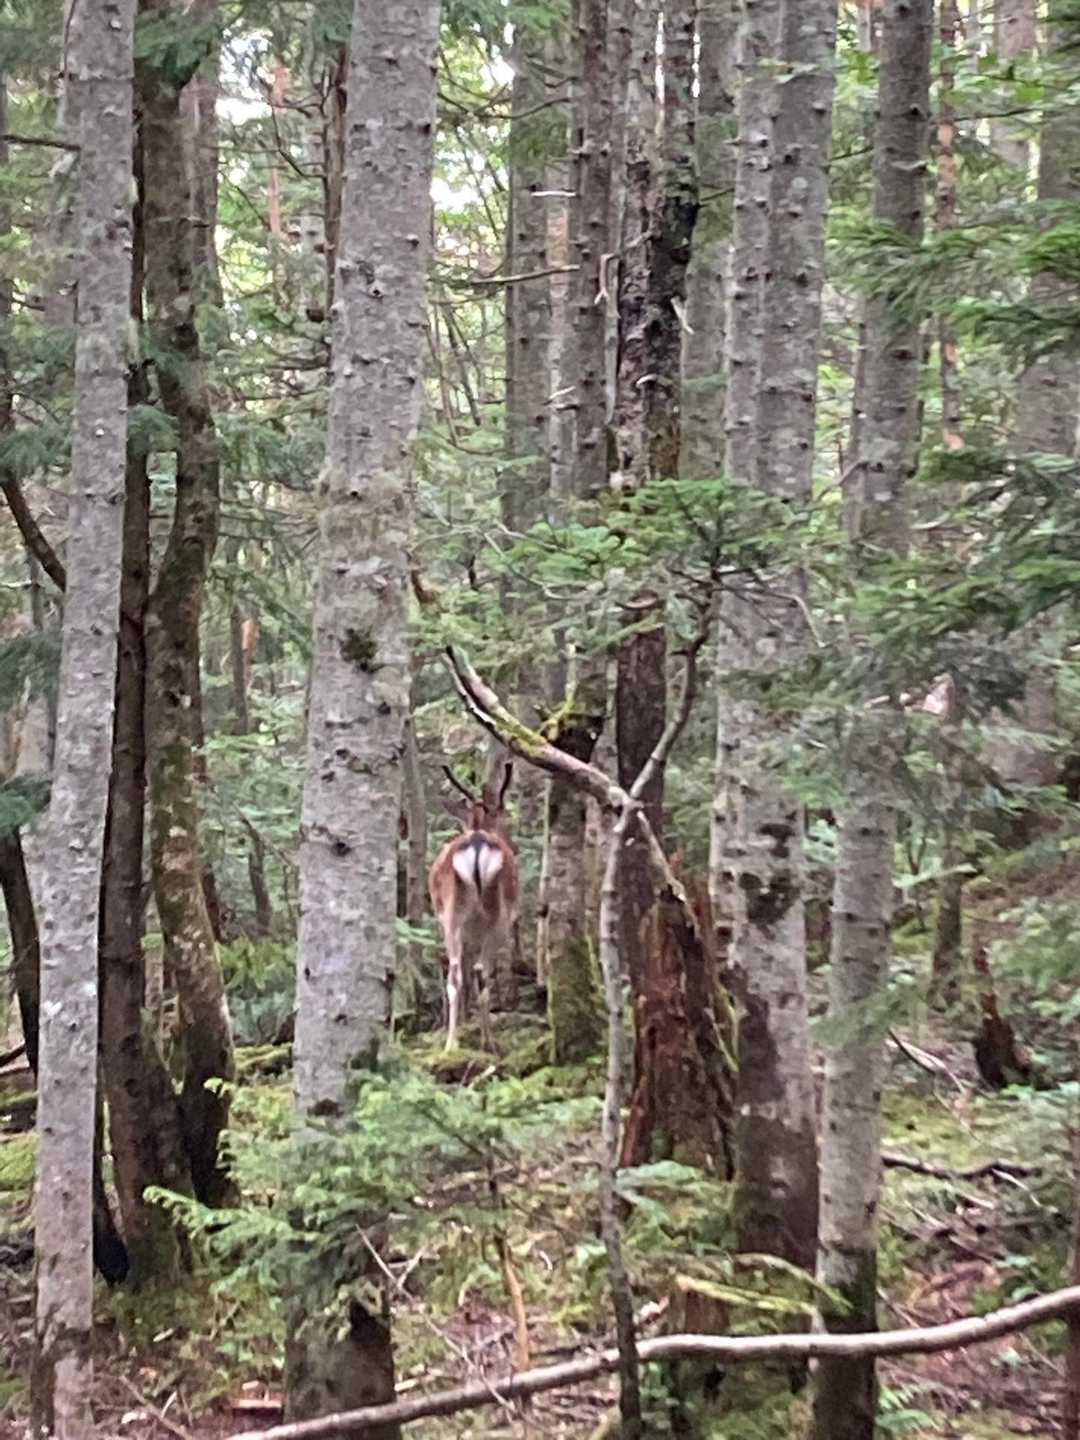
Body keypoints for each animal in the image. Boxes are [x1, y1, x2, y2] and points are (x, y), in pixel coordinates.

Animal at [429, 762, 518, 1053]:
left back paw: (451, 1043)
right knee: (481, 972)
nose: (514, 843)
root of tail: (478, 843)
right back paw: (489, 1042)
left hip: (452, 915)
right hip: (499, 917)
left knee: (455, 974)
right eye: (502, 814)